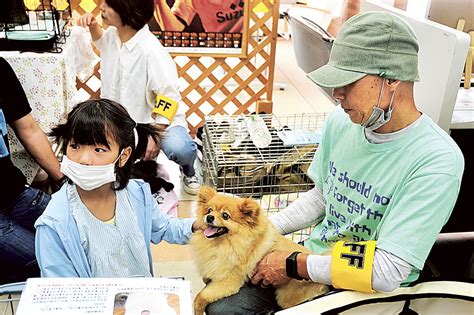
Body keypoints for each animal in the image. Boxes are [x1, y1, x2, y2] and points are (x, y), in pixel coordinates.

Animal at [191, 186, 328, 314]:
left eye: (225, 216)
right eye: (209, 210)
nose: (209, 217)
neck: (223, 243)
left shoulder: (227, 282)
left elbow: (200, 296)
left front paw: (197, 310)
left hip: (287, 297)